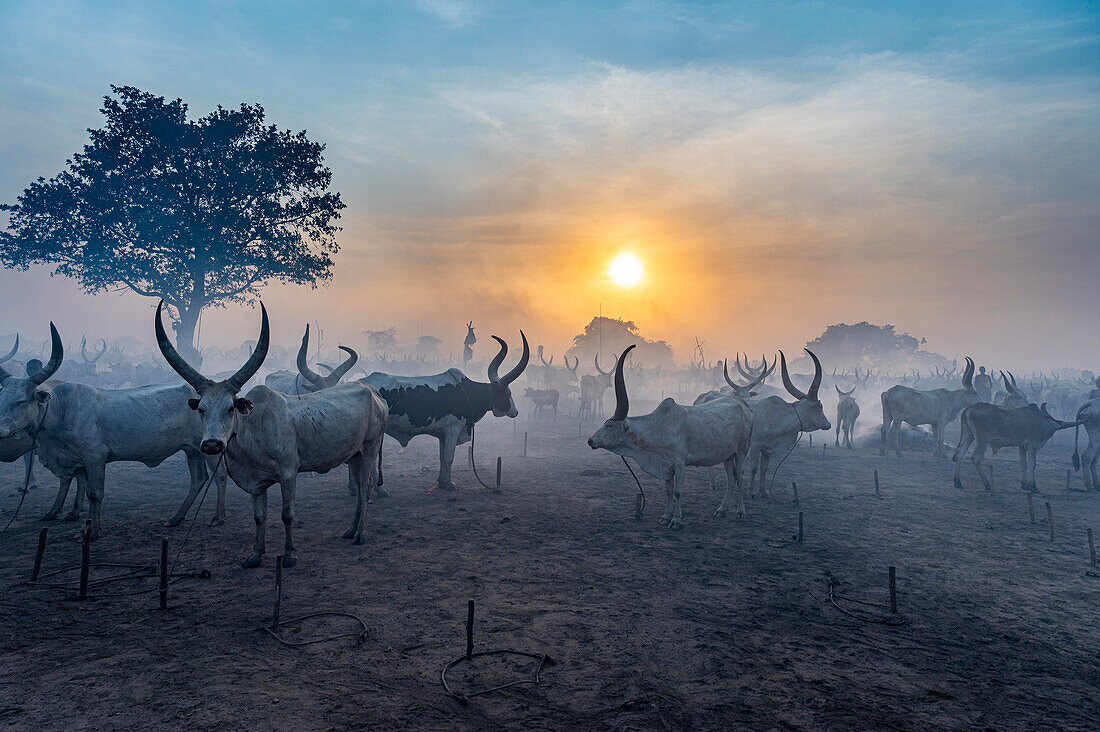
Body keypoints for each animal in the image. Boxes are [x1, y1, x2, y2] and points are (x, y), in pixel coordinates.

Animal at [0, 325, 227, 537]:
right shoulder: (78, 460)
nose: (1, 431)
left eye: (20, 401)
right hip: (191, 450)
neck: (59, 409)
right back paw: (175, 518)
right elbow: (83, 487)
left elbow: (95, 494)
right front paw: (82, 522)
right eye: (2, 398)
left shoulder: (95, 458)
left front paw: (93, 531)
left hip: (209, 448)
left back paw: (218, 517)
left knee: (220, 475)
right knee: (198, 479)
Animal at [360, 330, 528, 490]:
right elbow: (449, 458)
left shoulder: (442, 434)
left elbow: (442, 457)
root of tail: (362, 383)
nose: (516, 412)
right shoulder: (452, 429)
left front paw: (441, 481)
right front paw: (449, 483)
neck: (467, 391)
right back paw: (379, 490)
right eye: (508, 393)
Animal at [585, 347, 756, 526]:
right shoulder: (666, 466)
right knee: (731, 479)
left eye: (610, 426)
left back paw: (741, 511)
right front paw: (666, 516)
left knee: (740, 477)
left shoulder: (680, 464)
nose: (590, 440)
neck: (658, 428)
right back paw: (722, 510)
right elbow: (668, 491)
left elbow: (677, 492)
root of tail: (743, 405)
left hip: (742, 450)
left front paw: (676, 520)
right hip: (727, 455)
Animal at [950, 400, 1078, 490]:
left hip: (968, 436)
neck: (1042, 422)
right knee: (976, 458)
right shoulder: (1033, 445)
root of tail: (970, 408)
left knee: (959, 454)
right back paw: (986, 484)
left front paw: (1025, 484)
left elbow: (1024, 464)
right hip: (982, 441)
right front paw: (1033, 486)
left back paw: (958, 482)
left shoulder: (1022, 446)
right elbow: (1032, 465)